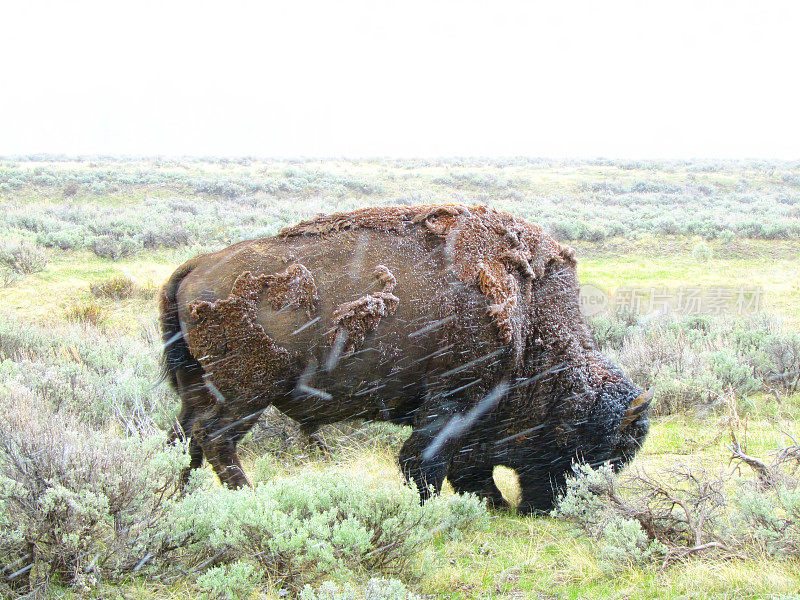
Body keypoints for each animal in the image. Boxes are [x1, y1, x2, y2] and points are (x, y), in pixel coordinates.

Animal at [161, 205, 648, 510]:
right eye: (599, 448)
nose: (549, 508)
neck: (530, 319)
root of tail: (195, 266)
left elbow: (464, 465)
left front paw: (491, 503)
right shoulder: (453, 401)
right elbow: (426, 462)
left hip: (197, 388)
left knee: (183, 435)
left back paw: (176, 496)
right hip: (247, 394)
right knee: (214, 437)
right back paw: (248, 498)